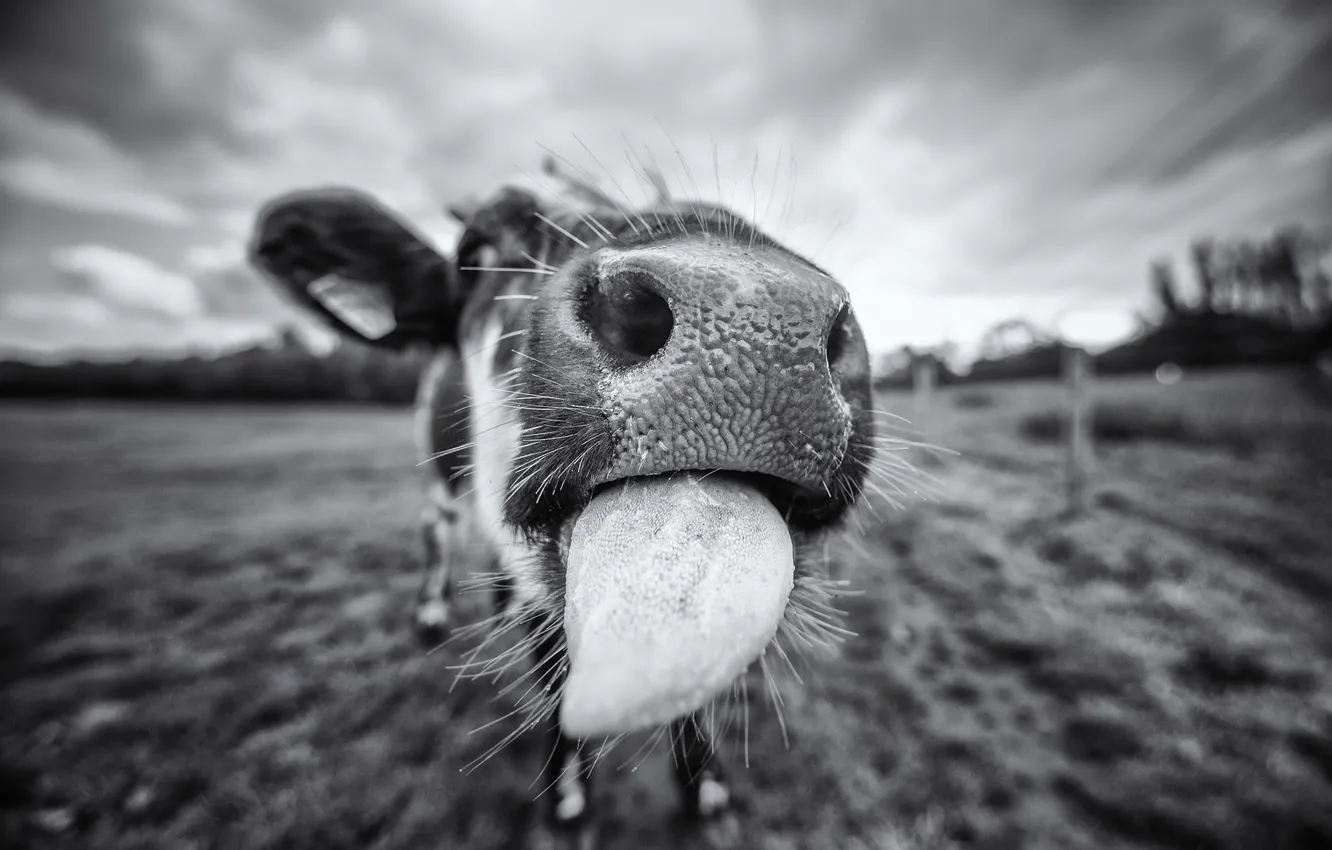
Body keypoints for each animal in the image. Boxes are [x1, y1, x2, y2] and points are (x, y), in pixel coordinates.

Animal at [247, 156, 878, 846]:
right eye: (474, 252)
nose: (752, 309)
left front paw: (705, 788)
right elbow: (555, 671)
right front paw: (570, 802)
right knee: (438, 524)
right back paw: (433, 614)